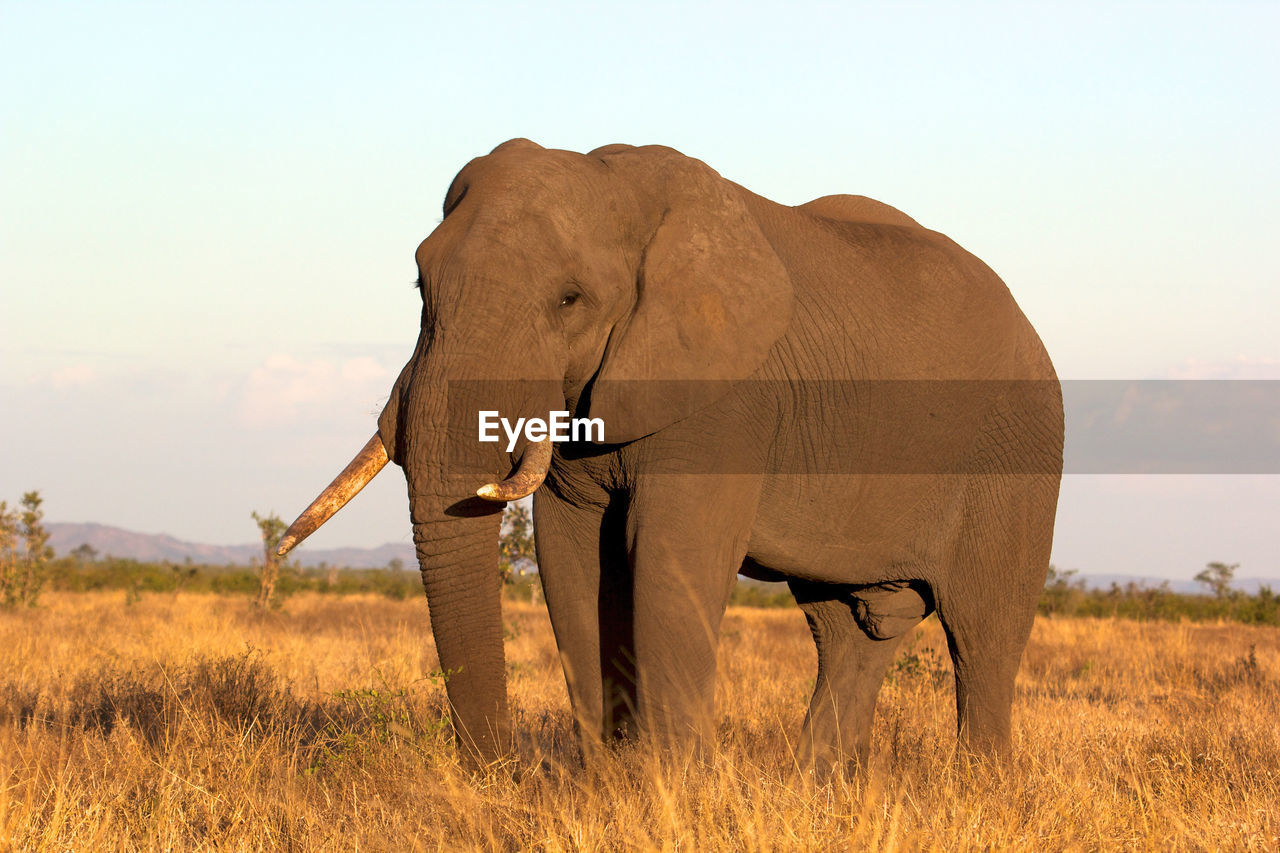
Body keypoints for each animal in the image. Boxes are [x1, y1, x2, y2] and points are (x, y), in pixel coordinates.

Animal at [277, 139, 1059, 768]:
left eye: (570, 300)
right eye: (420, 286)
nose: (501, 773)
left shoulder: (728, 399)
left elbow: (664, 556)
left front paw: (674, 789)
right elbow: (573, 558)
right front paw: (609, 783)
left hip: (1018, 452)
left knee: (984, 633)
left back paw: (979, 792)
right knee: (848, 633)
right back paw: (814, 789)